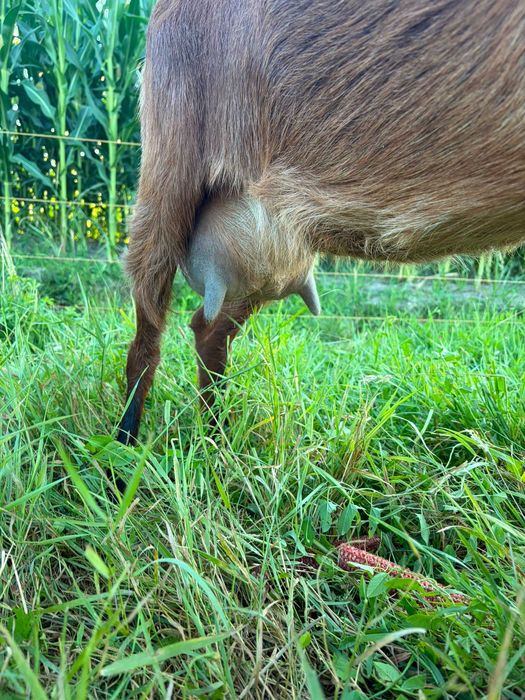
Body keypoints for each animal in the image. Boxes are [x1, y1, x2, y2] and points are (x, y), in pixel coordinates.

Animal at [117, 0, 525, 445]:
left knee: (208, 329)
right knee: (149, 310)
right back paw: (126, 442)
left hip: (264, 261)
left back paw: (216, 435)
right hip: (174, 149)